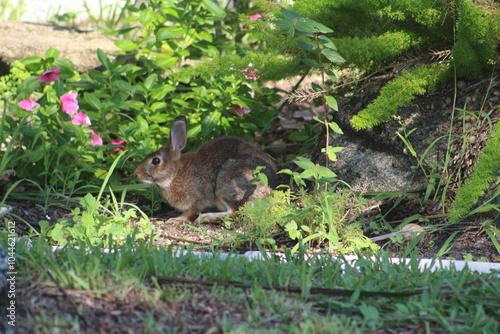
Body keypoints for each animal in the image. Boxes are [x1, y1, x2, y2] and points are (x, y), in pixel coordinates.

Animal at [133, 116, 278, 223]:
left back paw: (206, 217)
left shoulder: (198, 199)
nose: (136, 174)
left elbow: (191, 211)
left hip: (228, 182)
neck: (175, 173)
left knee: (234, 213)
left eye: (156, 161)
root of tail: (268, 191)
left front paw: (176, 219)